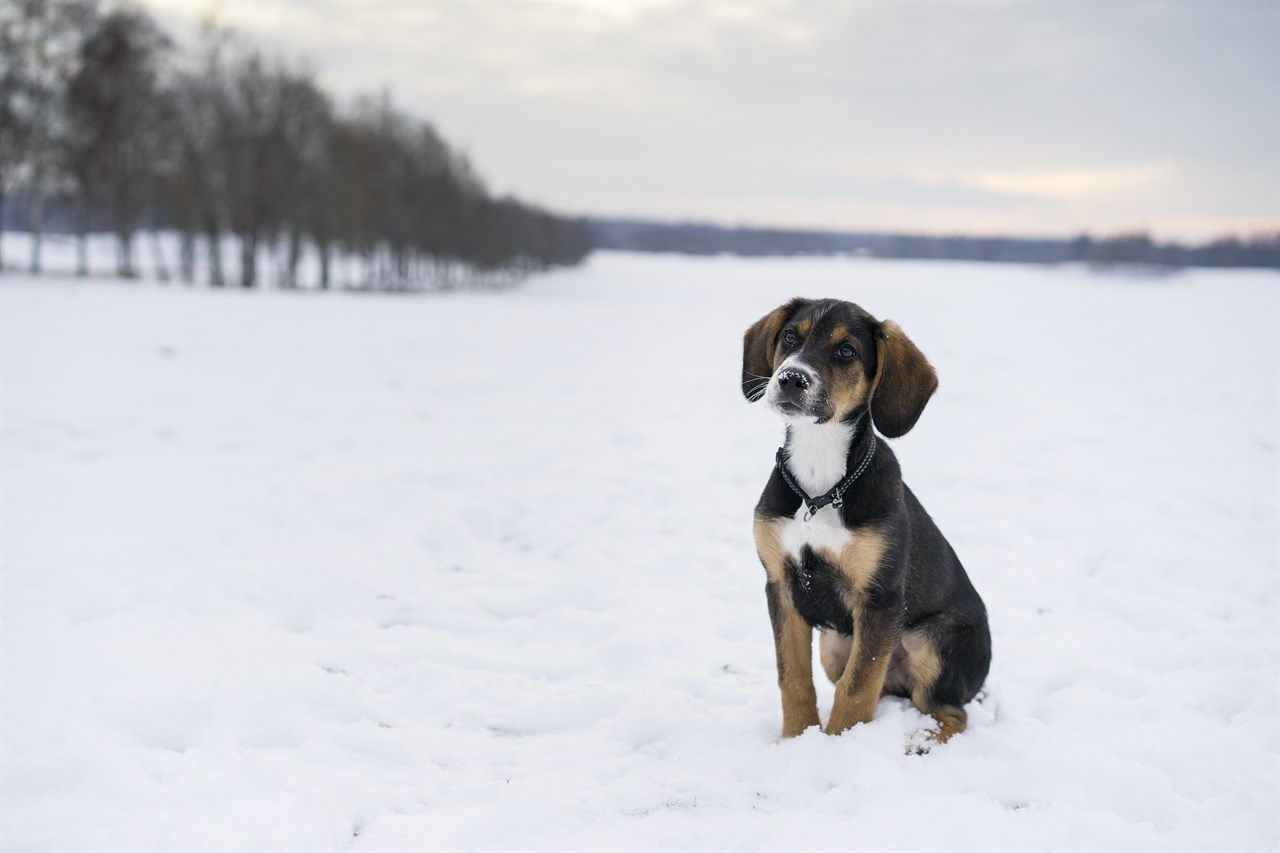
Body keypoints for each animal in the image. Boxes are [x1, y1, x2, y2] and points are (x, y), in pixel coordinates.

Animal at [742, 297, 988, 737]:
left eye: (847, 351)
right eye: (789, 337)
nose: (791, 379)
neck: (819, 486)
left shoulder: (880, 598)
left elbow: (857, 689)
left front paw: (839, 742)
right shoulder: (780, 585)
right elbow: (793, 676)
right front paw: (797, 738)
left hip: (933, 642)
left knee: (950, 712)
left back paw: (920, 741)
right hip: (834, 645)